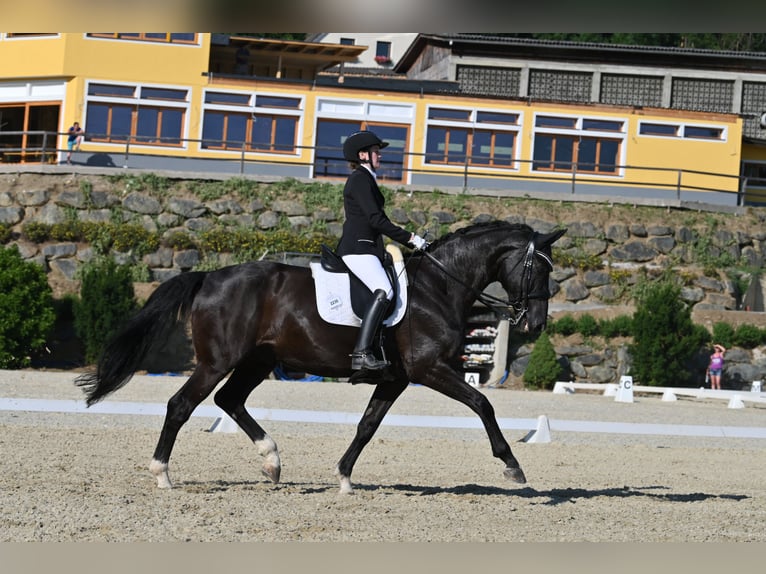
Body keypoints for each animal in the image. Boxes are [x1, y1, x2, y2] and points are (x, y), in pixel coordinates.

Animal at [76, 220, 564, 496]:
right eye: (539, 268)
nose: (536, 324)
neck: (439, 287)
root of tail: (209, 276)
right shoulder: (430, 370)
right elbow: (483, 403)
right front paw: (512, 466)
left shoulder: (396, 379)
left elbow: (368, 426)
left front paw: (344, 477)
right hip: (217, 361)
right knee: (181, 405)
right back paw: (162, 474)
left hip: (256, 361)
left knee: (229, 401)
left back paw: (272, 461)